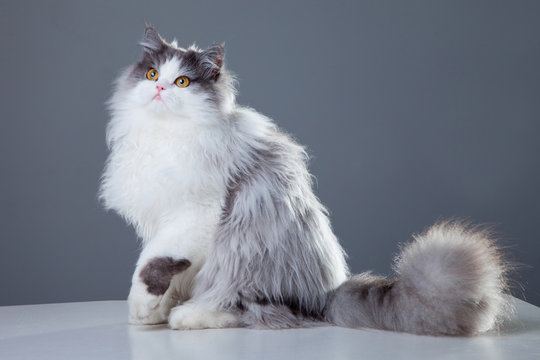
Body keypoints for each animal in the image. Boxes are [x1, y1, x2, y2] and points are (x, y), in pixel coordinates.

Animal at [100, 26, 510, 336]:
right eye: (153, 74)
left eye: (182, 82)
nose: (160, 89)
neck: (163, 136)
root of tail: (324, 297)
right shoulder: (161, 217)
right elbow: (165, 271)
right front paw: (153, 312)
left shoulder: (195, 214)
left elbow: (153, 263)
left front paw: (143, 307)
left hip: (245, 254)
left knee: (254, 309)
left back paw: (190, 316)